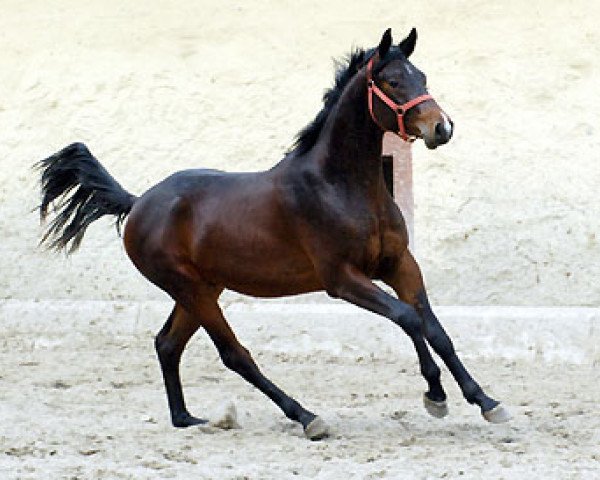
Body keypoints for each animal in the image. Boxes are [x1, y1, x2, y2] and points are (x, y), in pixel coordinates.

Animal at [37, 27, 508, 438]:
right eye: (392, 81)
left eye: (422, 77)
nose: (441, 128)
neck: (342, 186)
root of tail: (137, 204)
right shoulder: (343, 279)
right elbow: (408, 319)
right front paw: (436, 395)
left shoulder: (400, 265)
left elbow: (436, 329)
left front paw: (486, 402)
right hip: (191, 289)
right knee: (234, 355)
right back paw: (307, 417)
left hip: (201, 289)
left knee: (167, 345)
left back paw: (187, 419)